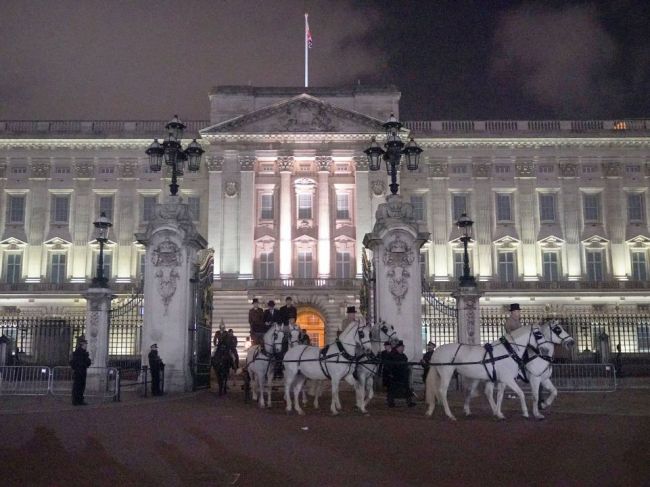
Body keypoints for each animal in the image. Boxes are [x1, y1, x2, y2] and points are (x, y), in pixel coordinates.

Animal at [426, 322, 572, 422]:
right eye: (558, 330)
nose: (571, 342)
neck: (509, 351)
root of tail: (437, 351)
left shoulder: (505, 379)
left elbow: (500, 396)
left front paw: (499, 413)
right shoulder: (520, 379)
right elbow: (525, 394)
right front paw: (529, 413)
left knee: (474, 392)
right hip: (446, 373)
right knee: (442, 391)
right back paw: (450, 415)